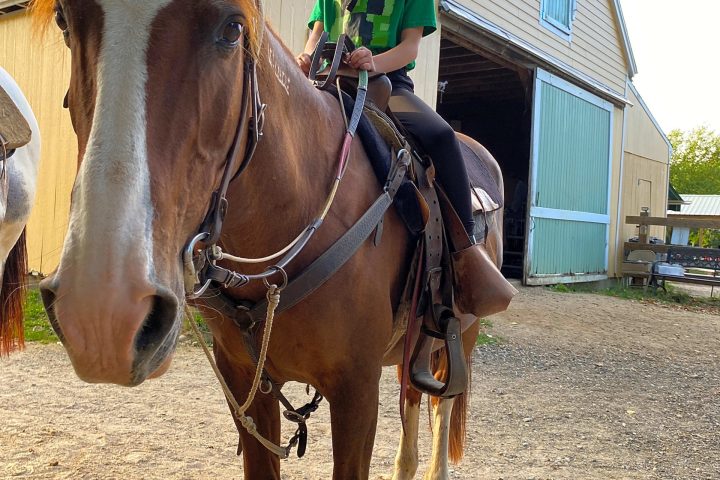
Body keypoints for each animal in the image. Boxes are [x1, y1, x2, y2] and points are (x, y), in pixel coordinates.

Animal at [33, 1, 506, 478]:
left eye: (232, 29)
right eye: (64, 21)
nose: (103, 315)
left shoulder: (357, 390)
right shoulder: (246, 380)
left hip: (462, 334)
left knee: (440, 406)